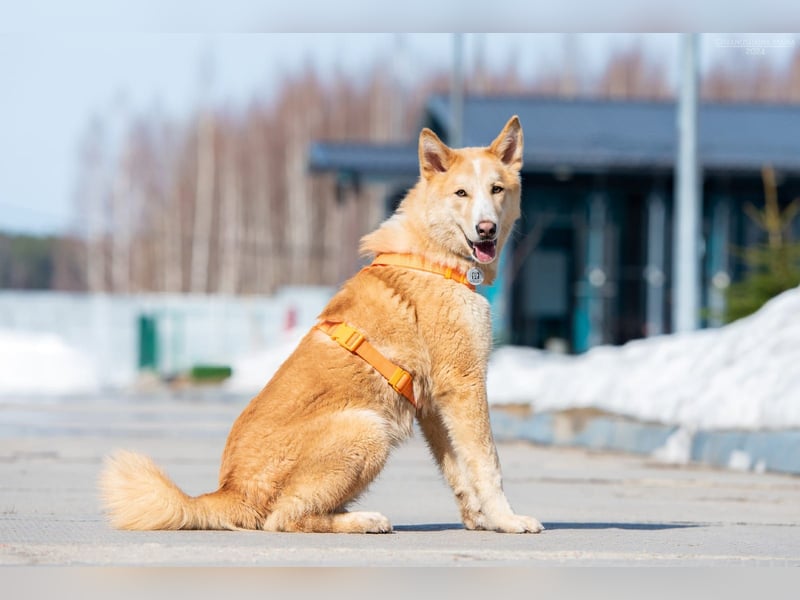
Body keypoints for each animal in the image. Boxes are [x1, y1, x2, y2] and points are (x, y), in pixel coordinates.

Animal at [101, 117, 544, 536]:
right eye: (461, 194)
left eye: (496, 189)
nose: (486, 229)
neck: (433, 256)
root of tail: (229, 490)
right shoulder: (464, 384)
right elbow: (488, 463)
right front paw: (507, 520)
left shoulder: (436, 404)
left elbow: (459, 469)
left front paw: (480, 520)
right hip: (368, 428)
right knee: (283, 518)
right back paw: (362, 520)